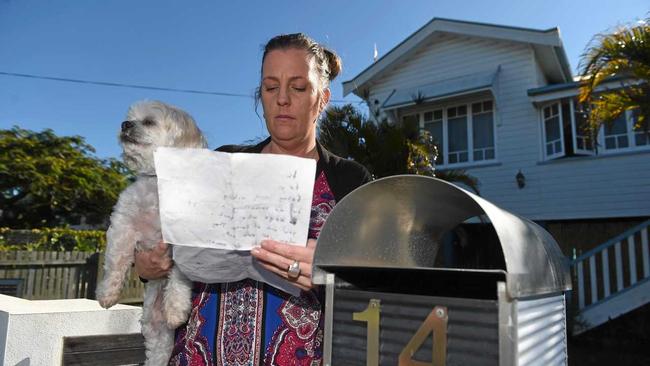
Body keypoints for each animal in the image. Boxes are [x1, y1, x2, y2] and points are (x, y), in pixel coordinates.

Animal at [93, 100, 204, 366]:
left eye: (149, 121)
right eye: (129, 118)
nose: (124, 124)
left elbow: (179, 278)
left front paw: (176, 307)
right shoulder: (123, 225)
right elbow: (116, 262)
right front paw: (107, 293)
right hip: (156, 334)